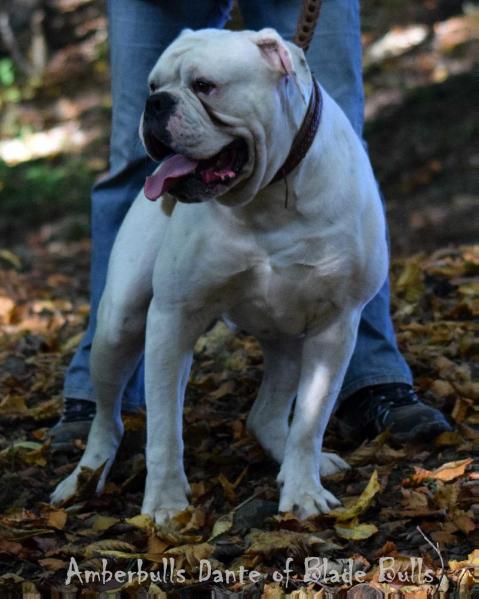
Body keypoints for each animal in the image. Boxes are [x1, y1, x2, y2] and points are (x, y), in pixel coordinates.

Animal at [52, 28, 388, 524]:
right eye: (153, 85)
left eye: (205, 86)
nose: (155, 104)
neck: (267, 197)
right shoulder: (171, 318)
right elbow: (164, 430)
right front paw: (165, 503)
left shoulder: (335, 326)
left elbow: (310, 421)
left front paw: (303, 490)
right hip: (118, 326)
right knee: (107, 418)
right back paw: (83, 476)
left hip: (290, 337)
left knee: (267, 415)